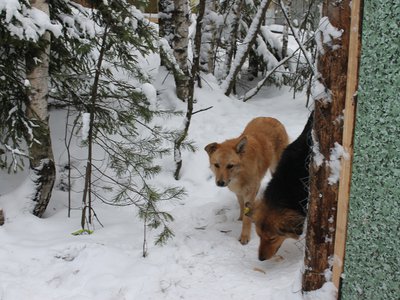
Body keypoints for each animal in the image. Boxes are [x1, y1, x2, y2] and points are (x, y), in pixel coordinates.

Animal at [205, 116, 290, 245]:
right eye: (216, 165)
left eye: (230, 166)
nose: (220, 183)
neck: (239, 174)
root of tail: (270, 118)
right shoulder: (239, 192)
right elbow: (241, 206)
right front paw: (240, 218)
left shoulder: (250, 192)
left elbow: (247, 219)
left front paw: (245, 236)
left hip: (275, 166)